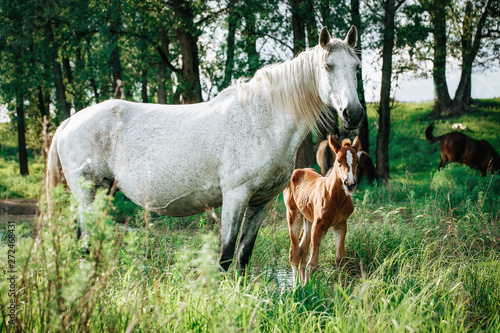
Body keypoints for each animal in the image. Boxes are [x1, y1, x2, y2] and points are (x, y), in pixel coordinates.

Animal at [47, 26, 364, 272]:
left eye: (357, 67)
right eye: (328, 66)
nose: (354, 114)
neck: (261, 119)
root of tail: (69, 122)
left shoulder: (262, 201)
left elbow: (243, 256)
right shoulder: (235, 196)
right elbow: (225, 256)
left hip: (102, 193)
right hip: (88, 195)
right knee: (84, 245)